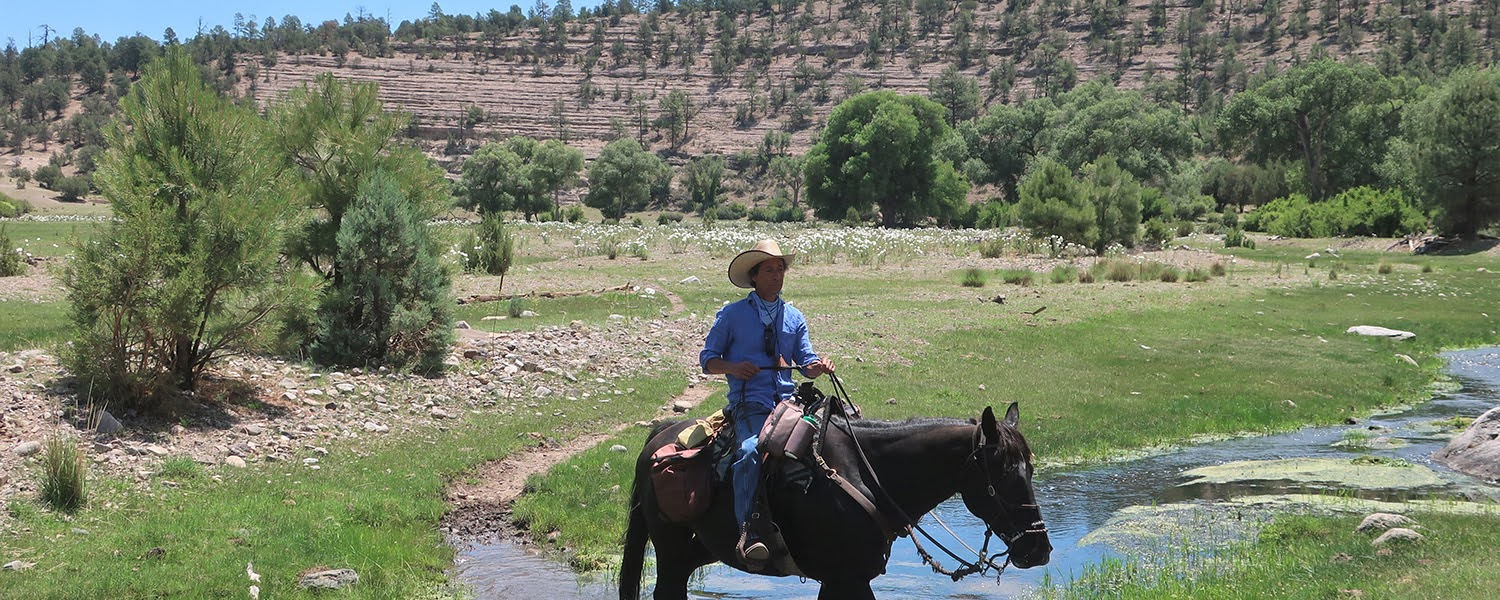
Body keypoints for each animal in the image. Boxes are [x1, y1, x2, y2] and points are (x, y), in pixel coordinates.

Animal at [615, 402, 1050, 597]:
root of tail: (661, 434)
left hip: (704, 547)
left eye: (1030, 470)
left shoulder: (845, 578)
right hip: (669, 547)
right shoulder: (846, 577)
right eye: (1002, 476)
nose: (1039, 549)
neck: (869, 476)